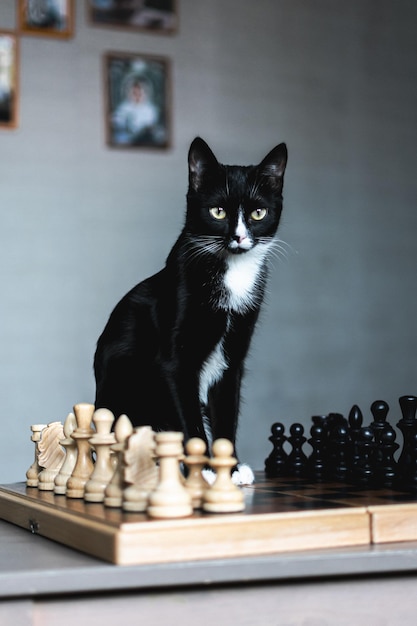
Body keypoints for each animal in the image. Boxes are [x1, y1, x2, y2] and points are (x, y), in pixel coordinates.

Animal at [94, 138, 286, 482]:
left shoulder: (233, 357)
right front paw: (206, 471)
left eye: (258, 212)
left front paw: (231, 469)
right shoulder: (176, 360)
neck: (231, 272)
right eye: (218, 211)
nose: (239, 237)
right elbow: (188, 416)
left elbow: (226, 414)